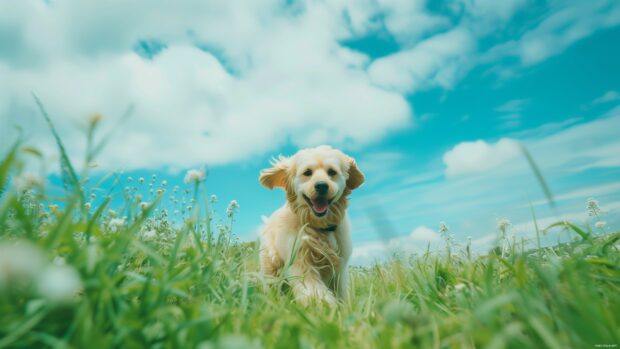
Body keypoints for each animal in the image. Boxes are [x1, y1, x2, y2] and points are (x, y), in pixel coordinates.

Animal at [256, 144, 364, 304]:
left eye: (332, 172)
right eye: (307, 172)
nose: (321, 186)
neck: (319, 226)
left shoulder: (340, 268)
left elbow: (340, 292)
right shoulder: (301, 263)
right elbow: (314, 291)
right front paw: (325, 307)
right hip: (271, 265)